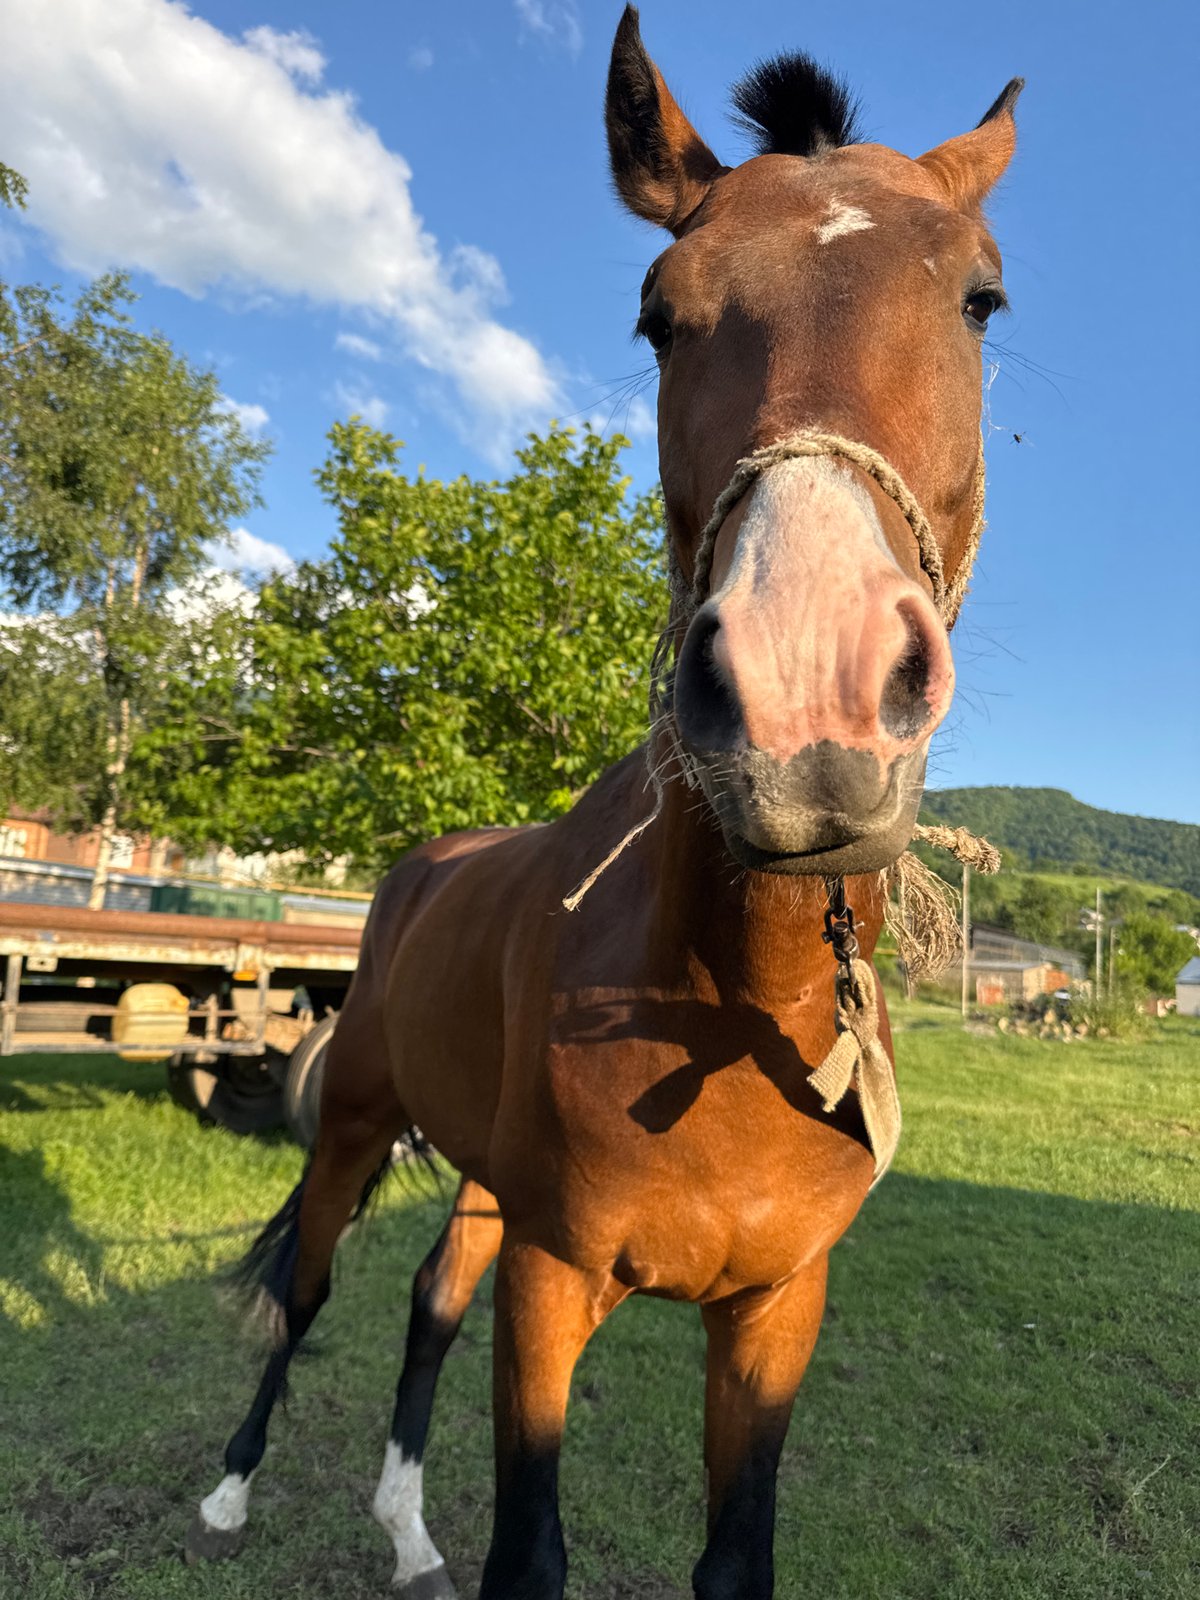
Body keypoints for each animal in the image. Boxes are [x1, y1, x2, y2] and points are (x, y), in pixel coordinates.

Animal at [188, 8, 1022, 1596]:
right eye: (658, 315)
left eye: (981, 303)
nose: (807, 699)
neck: (730, 1011)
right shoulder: (554, 1278)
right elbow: (533, 1548)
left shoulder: (773, 1311)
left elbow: (733, 1554)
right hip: (356, 1128)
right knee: (310, 1291)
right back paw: (230, 1484)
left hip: (475, 1181)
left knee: (425, 1300)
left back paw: (406, 1525)